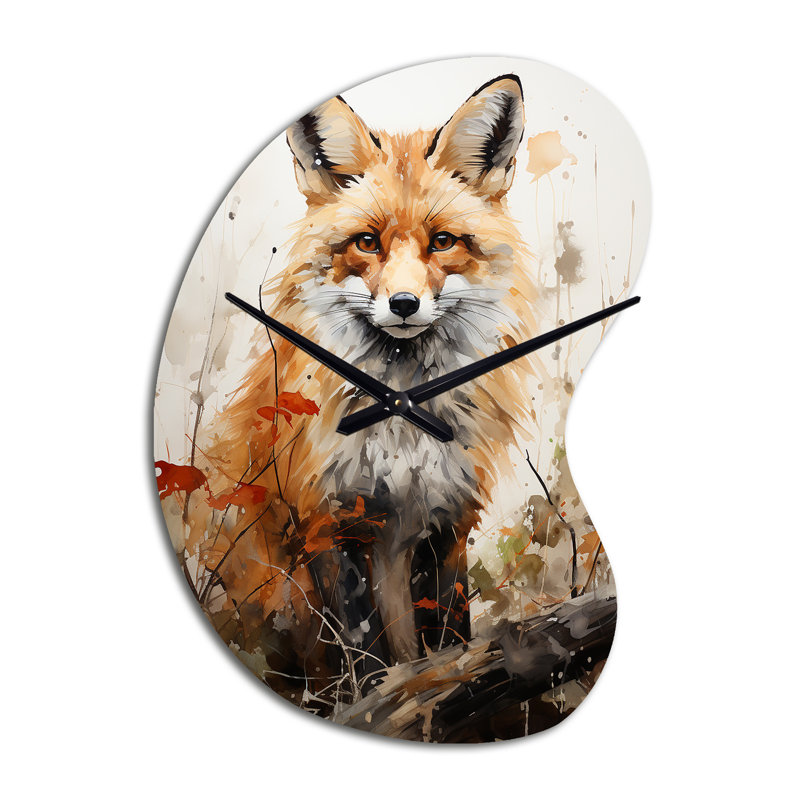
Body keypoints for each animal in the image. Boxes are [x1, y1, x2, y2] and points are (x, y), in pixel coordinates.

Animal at [194, 74, 543, 695]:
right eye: (367, 242)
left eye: (443, 242)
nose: (404, 304)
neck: (400, 415)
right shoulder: (328, 522)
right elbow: (364, 652)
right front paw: (375, 701)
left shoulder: (447, 520)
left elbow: (447, 634)